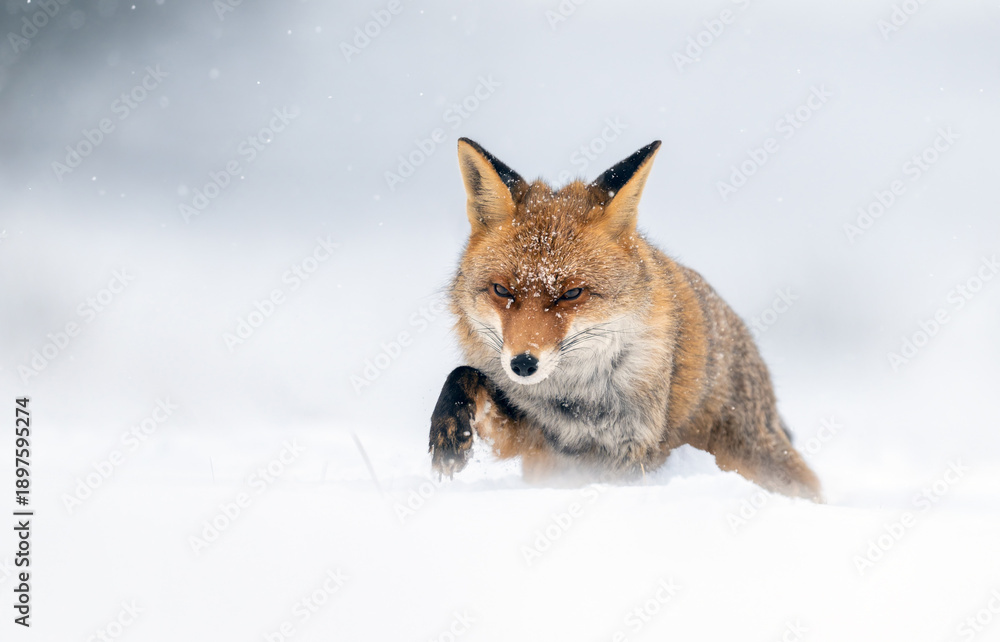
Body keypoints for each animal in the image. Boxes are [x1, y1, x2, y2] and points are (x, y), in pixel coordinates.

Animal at [428, 137, 822, 501]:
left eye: (572, 293)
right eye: (501, 290)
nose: (523, 364)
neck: (572, 398)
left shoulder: (629, 450)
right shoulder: (536, 436)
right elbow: (465, 375)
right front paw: (448, 435)